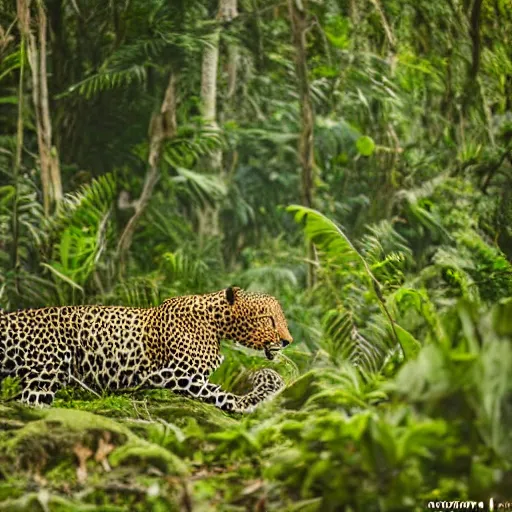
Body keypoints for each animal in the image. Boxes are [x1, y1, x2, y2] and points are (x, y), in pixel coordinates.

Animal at [0, 288, 292, 412]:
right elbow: (217, 393)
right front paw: (242, 404)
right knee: (31, 403)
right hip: (44, 374)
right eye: (269, 319)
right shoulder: (178, 374)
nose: (288, 341)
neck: (215, 322)